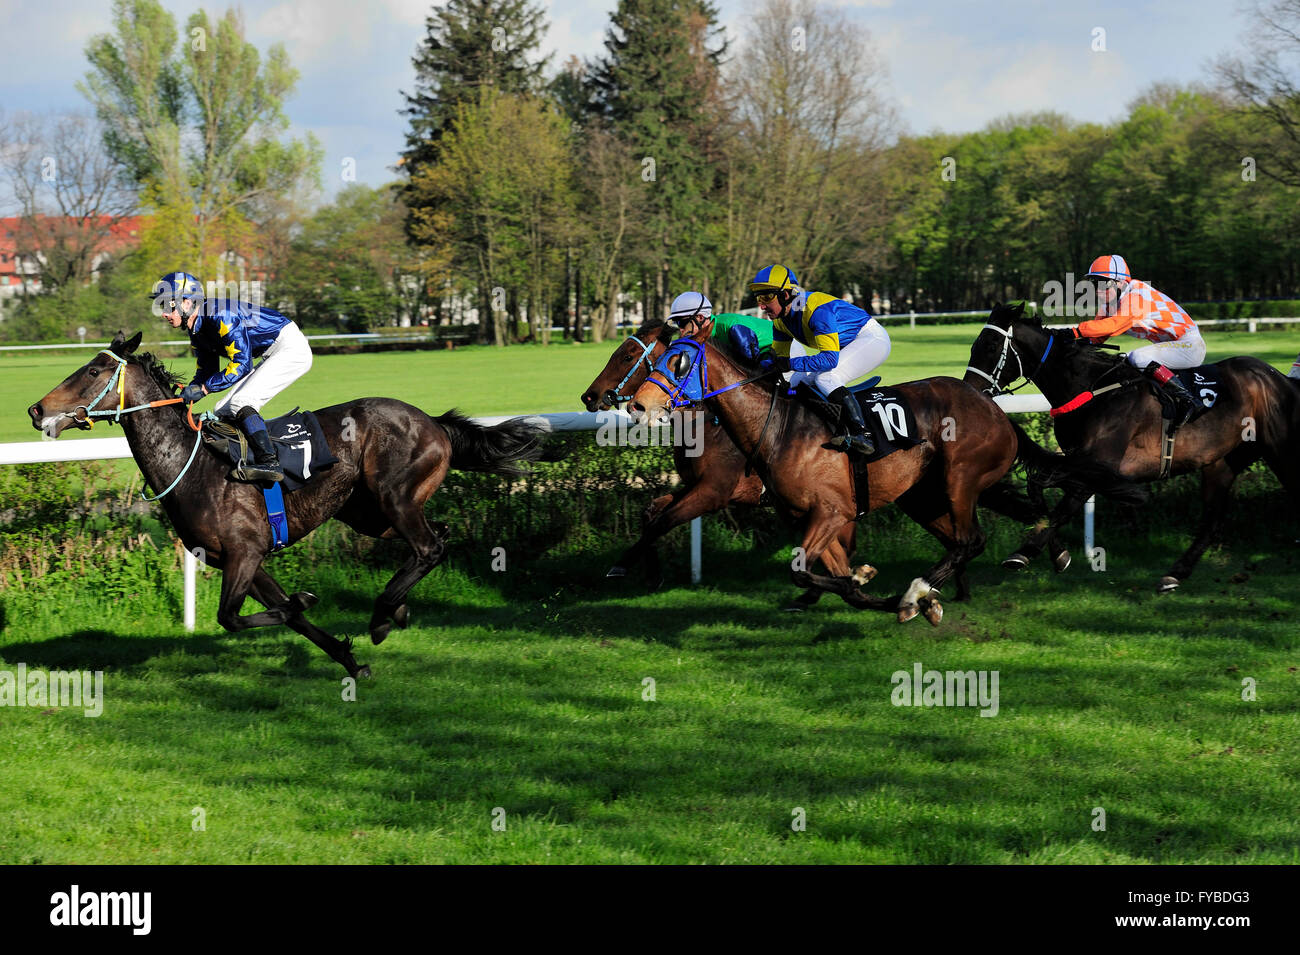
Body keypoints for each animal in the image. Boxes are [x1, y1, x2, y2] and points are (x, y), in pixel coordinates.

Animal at [29, 332, 548, 675]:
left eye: (93, 371)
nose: (36, 409)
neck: (193, 465)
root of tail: (433, 422)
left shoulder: (245, 550)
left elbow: (235, 617)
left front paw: (307, 600)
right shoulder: (240, 559)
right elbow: (285, 615)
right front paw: (348, 659)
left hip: (395, 498)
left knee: (428, 547)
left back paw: (381, 615)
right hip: (368, 514)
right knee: (436, 538)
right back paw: (396, 611)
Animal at [961, 304, 1294, 589]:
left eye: (990, 346)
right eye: (974, 346)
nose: (971, 392)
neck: (1093, 389)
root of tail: (1278, 377)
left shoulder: (1102, 465)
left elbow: (1064, 502)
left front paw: (1025, 552)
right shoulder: (1080, 462)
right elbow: (1038, 485)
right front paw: (1059, 555)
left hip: (1279, 451)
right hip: (1221, 462)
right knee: (1212, 521)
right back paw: (1174, 574)